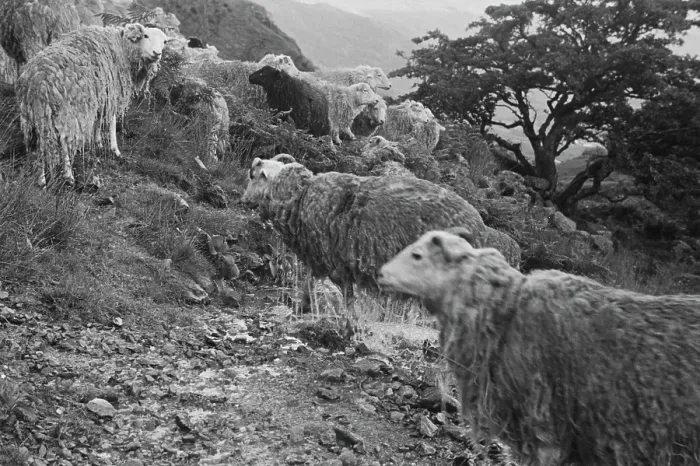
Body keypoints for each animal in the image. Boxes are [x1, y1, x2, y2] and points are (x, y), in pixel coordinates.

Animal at [15, 23, 168, 186]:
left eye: (164, 42)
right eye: (146, 36)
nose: (157, 53)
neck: (122, 47)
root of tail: (39, 82)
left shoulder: (100, 93)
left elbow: (98, 118)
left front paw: (98, 142)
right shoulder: (111, 91)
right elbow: (111, 120)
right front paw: (114, 149)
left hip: (36, 113)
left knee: (41, 141)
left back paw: (41, 178)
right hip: (69, 109)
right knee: (64, 140)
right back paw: (68, 175)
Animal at [241, 156, 520, 302]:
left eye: (253, 176)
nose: (243, 200)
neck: (301, 195)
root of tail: (480, 227)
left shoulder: (327, 255)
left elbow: (330, 290)